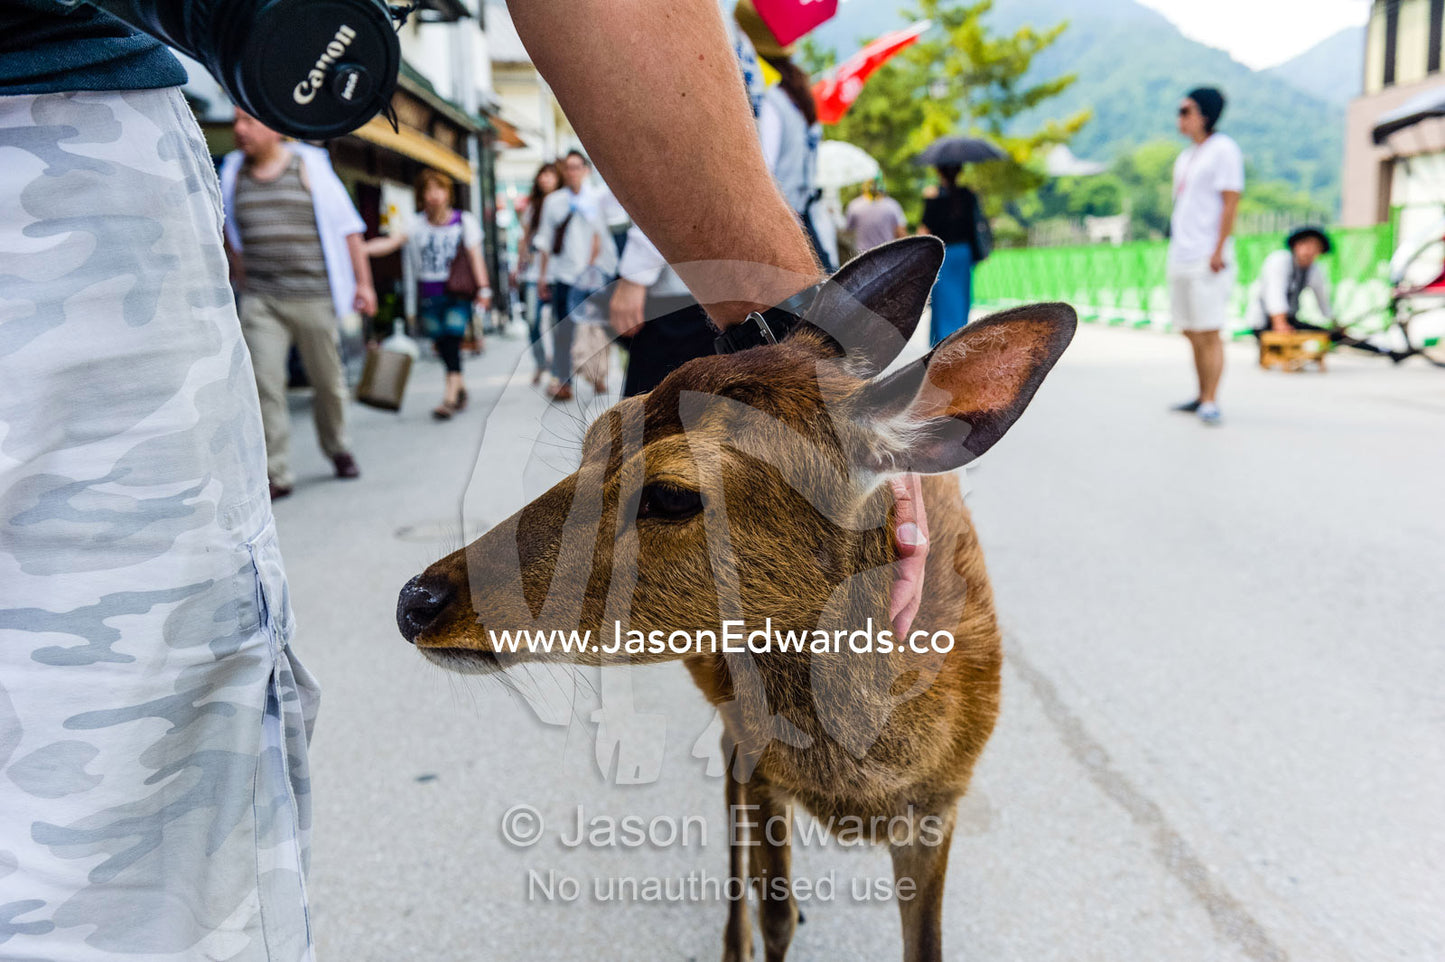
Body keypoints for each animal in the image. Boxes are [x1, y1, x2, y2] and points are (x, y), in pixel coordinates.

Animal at [395, 236, 1076, 962]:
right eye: (599, 433)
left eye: (671, 494)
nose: (417, 600)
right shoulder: (758, 758)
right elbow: (771, 906)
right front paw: (766, 929)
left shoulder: (939, 805)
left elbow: (925, 948)